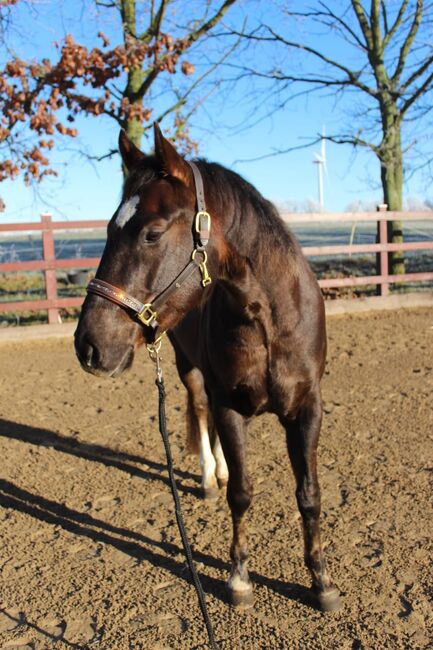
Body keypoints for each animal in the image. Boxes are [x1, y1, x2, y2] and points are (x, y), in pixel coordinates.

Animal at [74, 123, 340, 612]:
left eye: (152, 233)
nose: (88, 345)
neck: (268, 319)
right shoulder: (229, 405)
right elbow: (242, 493)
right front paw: (239, 579)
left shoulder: (307, 409)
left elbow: (310, 494)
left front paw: (321, 580)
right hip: (190, 371)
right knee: (200, 412)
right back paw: (209, 477)